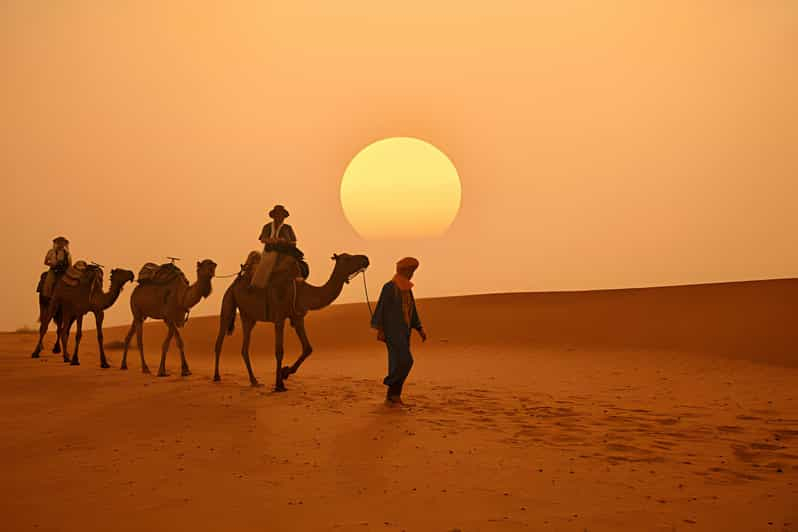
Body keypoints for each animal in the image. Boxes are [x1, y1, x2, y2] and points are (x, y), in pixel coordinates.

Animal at [211, 249, 370, 390]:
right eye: (347, 258)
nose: (366, 258)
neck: (302, 292)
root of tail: (235, 283)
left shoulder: (298, 318)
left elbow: (308, 348)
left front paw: (285, 372)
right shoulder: (279, 317)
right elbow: (279, 351)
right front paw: (279, 385)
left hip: (248, 317)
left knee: (244, 348)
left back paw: (254, 380)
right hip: (228, 301)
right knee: (220, 340)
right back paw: (217, 376)